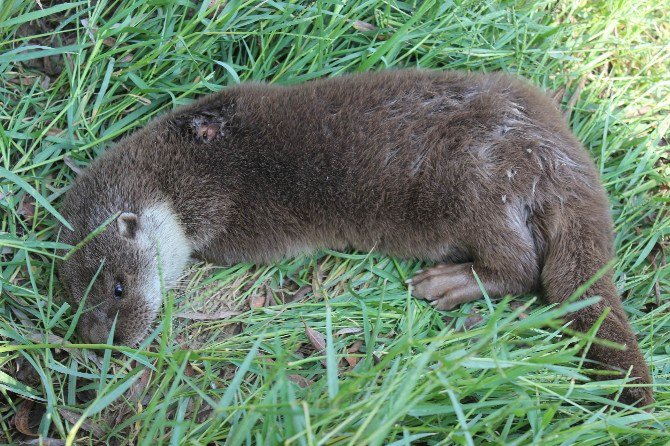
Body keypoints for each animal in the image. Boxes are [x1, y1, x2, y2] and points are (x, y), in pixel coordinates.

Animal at [57, 69, 656, 408]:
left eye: (116, 288)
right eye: (73, 299)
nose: (96, 338)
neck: (182, 178)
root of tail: (557, 152)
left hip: (480, 186)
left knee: (523, 268)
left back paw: (449, 284)